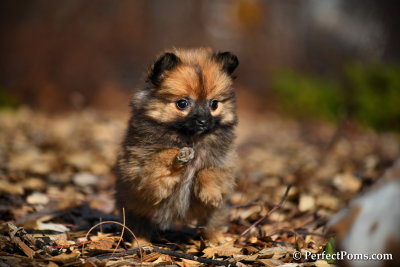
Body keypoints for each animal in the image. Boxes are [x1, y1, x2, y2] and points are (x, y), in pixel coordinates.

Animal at [115, 48, 241, 243]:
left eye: (214, 104)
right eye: (182, 104)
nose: (203, 121)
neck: (190, 139)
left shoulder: (225, 162)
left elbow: (210, 171)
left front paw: (210, 193)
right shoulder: (138, 167)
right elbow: (160, 159)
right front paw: (177, 159)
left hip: (215, 214)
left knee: (212, 225)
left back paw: (217, 241)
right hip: (133, 209)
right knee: (138, 227)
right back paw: (141, 243)